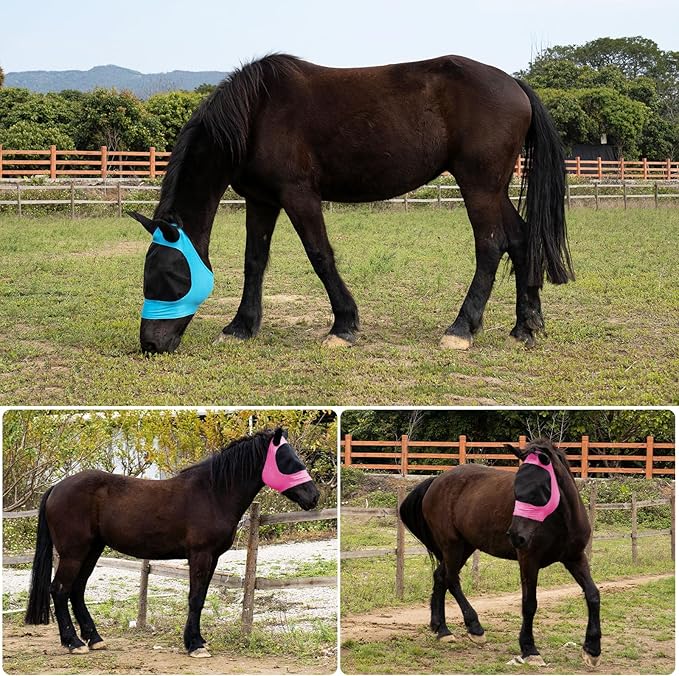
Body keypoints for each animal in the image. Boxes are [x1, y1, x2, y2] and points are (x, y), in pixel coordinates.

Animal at [24, 428, 320, 658]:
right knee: (59, 590)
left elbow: (200, 597)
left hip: (92, 550)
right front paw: (195, 645)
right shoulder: (200, 555)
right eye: (287, 460)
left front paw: (197, 641)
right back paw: (73, 643)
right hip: (73, 553)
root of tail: (56, 488)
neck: (213, 493)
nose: (314, 496)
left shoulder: (213, 557)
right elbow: (195, 598)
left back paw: (94, 639)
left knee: (77, 590)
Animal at [130, 53, 573, 354]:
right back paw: (526, 326)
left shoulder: (299, 195)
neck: (256, 113)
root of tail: (515, 84)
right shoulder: (261, 200)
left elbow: (320, 255)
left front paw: (343, 325)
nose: (151, 344)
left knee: (491, 246)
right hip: (493, 188)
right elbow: (254, 260)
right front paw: (241, 326)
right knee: (520, 240)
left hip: (478, 185)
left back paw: (461, 328)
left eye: (168, 276)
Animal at [399, 437, 601, 667]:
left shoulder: (575, 557)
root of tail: (436, 481)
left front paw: (592, 649)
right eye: (516, 486)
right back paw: (474, 628)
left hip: (465, 546)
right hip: (452, 545)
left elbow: (593, 594)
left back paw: (442, 630)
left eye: (541, 487)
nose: (515, 536)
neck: (561, 521)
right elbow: (529, 604)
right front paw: (529, 649)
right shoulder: (528, 560)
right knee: (451, 579)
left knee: (441, 576)